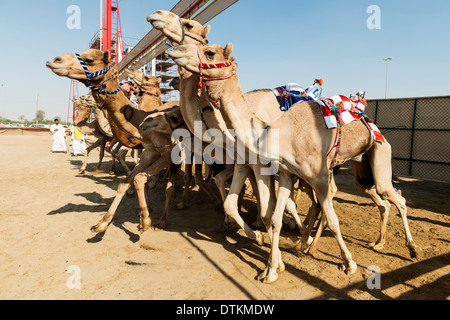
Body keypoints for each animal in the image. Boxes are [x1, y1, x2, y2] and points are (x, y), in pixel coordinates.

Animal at [46, 50, 200, 234]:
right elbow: (127, 180)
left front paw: (154, 221)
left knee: (188, 174)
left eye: (89, 60)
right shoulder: (149, 151)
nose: (55, 60)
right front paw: (103, 223)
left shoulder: (170, 153)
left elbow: (159, 186)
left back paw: (182, 200)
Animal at [165, 42, 422, 282]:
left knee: (396, 198)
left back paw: (411, 249)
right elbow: (274, 218)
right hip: (361, 168)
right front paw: (270, 270)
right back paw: (374, 242)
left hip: (379, 154)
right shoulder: (287, 173)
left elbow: (332, 219)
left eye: (209, 52)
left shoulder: (315, 176)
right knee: (383, 201)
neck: (279, 133)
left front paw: (349, 264)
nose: (175, 50)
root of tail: (373, 124)